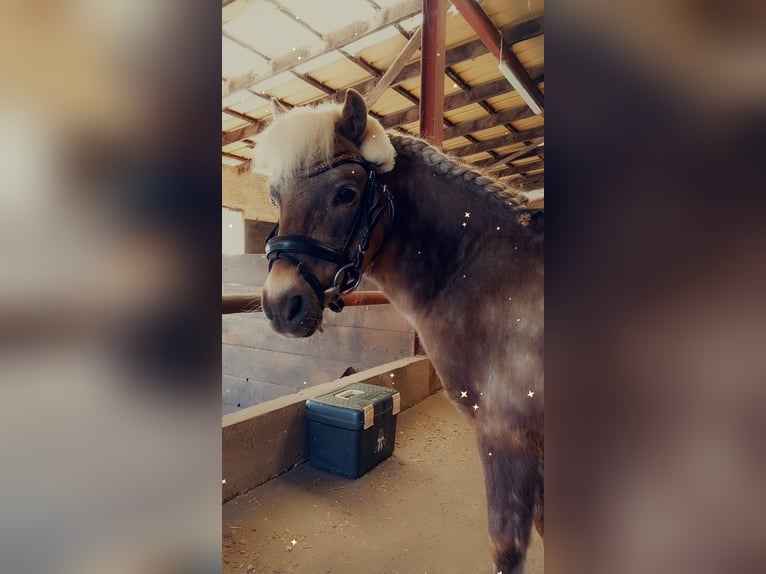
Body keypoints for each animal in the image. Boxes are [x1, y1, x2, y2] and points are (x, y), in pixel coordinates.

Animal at [255, 90, 544, 574]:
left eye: (346, 193)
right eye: (276, 197)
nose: (281, 305)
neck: (492, 277)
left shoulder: (507, 436)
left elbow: (507, 546)